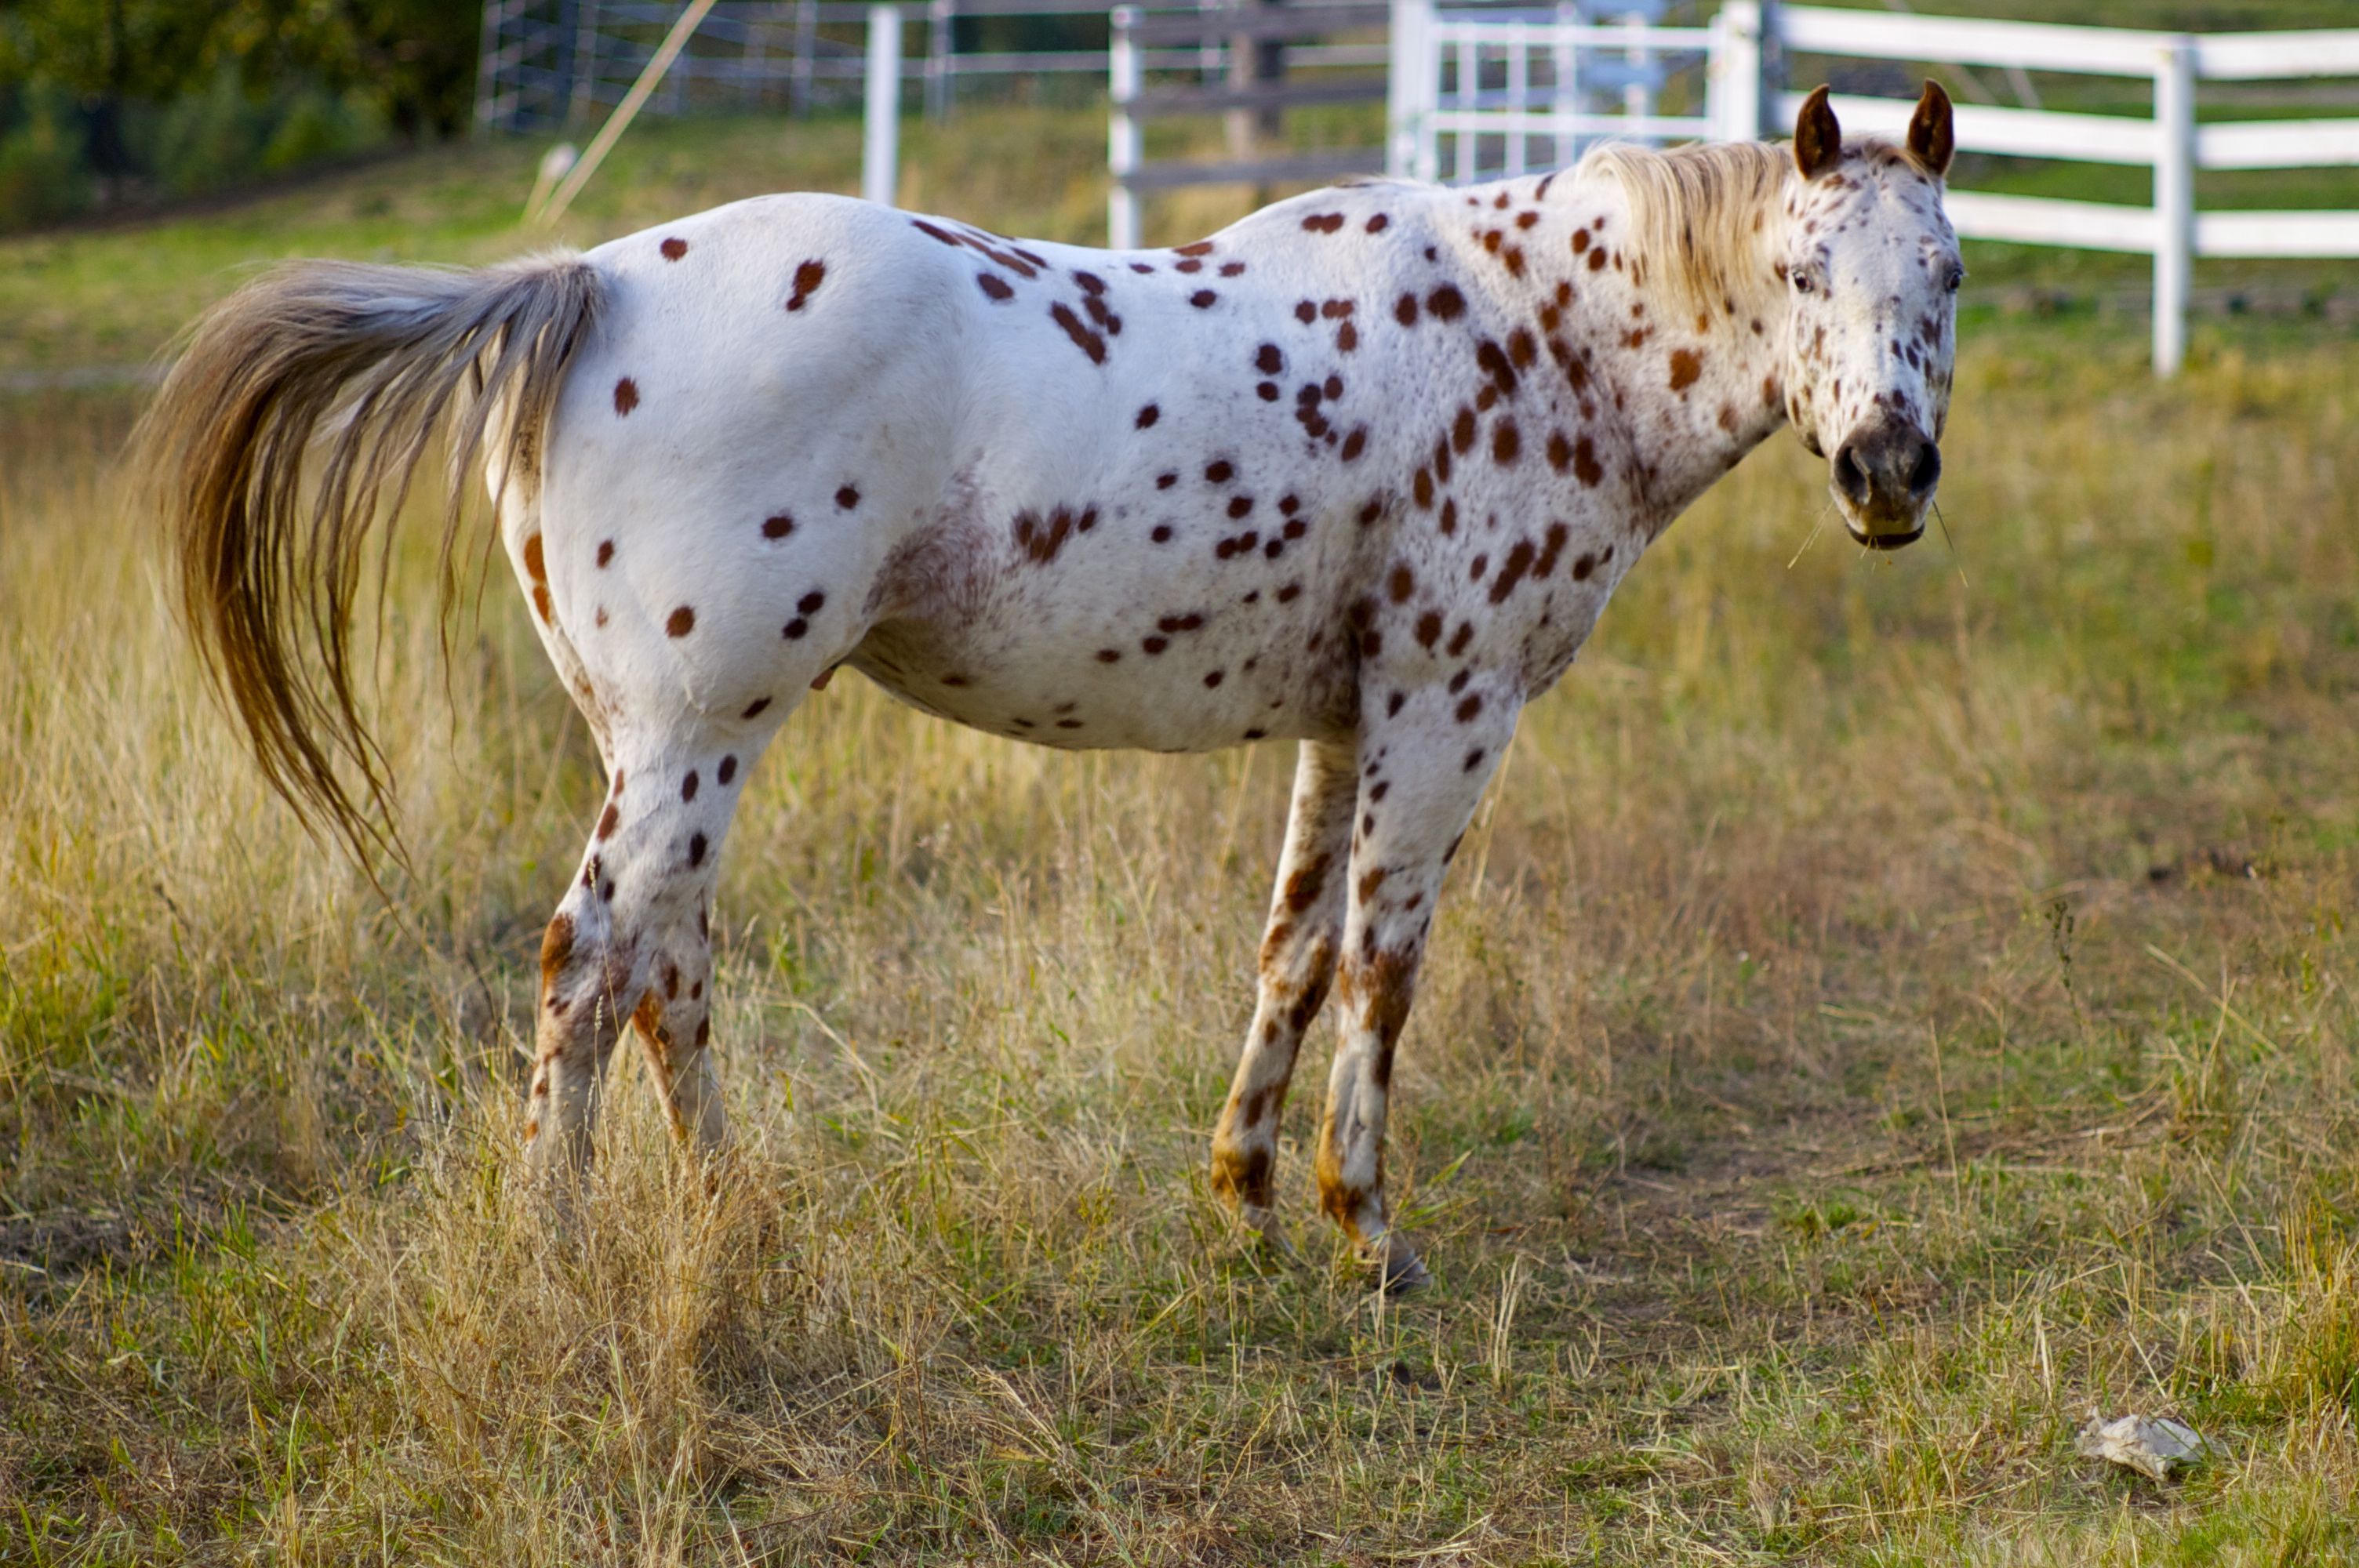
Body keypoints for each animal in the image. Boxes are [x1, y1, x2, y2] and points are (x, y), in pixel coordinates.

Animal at [137, 82, 1962, 1283]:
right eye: (1805, 274)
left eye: (1940, 275)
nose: (1886, 473)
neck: (1532, 335)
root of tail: (584, 284)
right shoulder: (1447, 714)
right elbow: (1385, 973)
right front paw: (1367, 1235)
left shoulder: (1341, 723)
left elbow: (1294, 953)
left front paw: (1243, 1194)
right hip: (693, 735)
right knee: (591, 964)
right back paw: (555, 1252)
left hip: (662, 748)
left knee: (668, 970)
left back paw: (736, 1216)